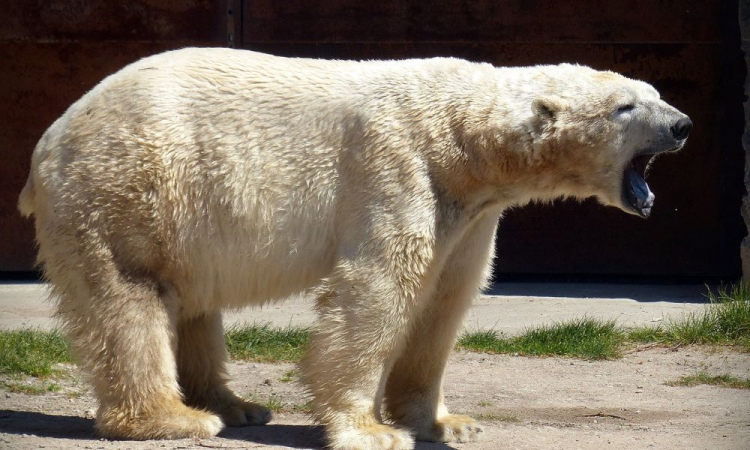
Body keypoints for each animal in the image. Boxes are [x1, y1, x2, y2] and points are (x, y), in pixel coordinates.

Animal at [17, 49, 692, 450]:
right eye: (626, 106)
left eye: (652, 91)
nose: (682, 124)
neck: (463, 138)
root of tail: (50, 138)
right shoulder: (396, 167)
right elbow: (378, 289)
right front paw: (369, 430)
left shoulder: (471, 212)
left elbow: (444, 301)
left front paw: (448, 421)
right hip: (129, 189)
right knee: (131, 297)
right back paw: (174, 418)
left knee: (192, 303)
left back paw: (237, 406)